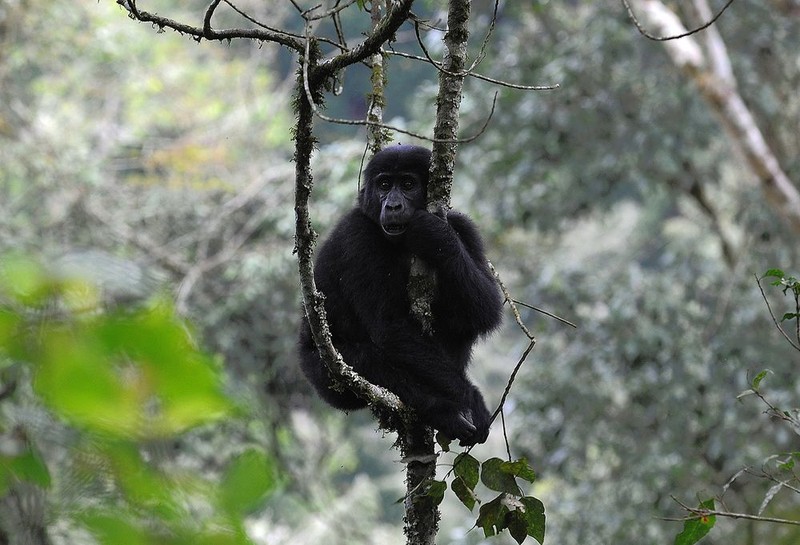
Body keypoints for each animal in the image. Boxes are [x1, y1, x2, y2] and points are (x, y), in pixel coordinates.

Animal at [300, 142, 500, 444]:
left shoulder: (463, 226)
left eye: (407, 184)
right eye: (384, 185)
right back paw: (443, 411)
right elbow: (391, 328)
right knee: (371, 362)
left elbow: (485, 309)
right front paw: (471, 399)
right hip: (322, 376)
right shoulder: (357, 235)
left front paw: (435, 234)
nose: (392, 205)